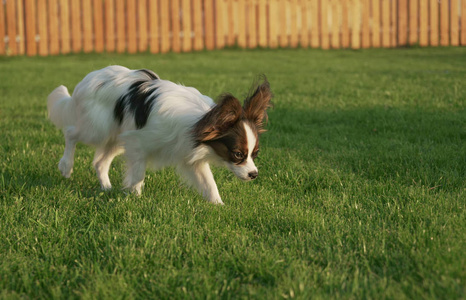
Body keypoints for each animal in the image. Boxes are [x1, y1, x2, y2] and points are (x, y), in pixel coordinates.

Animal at [46, 66, 274, 205]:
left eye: (255, 154)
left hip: (117, 137)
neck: (201, 121)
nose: (254, 174)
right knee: (71, 133)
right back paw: (66, 166)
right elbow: (138, 174)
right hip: (97, 128)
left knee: (100, 162)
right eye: (237, 154)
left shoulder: (191, 158)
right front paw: (135, 198)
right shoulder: (138, 144)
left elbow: (209, 183)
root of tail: (90, 78)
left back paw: (107, 188)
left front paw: (219, 205)